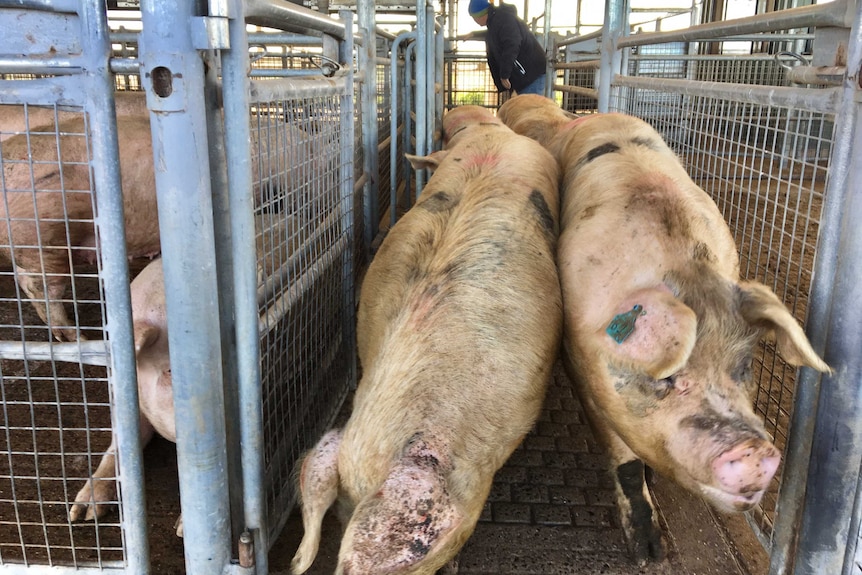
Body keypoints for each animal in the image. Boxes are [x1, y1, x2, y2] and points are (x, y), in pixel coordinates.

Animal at [520, 110, 832, 564]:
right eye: (668, 378)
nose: (754, 450)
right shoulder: (585, 371)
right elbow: (626, 465)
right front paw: (649, 555)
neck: (685, 269)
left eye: (743, 367)